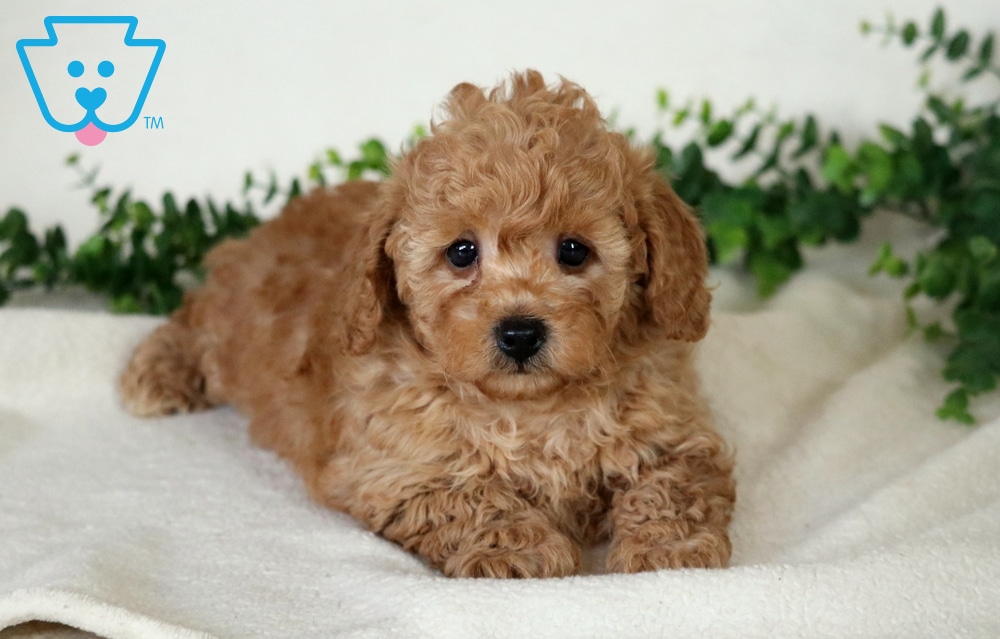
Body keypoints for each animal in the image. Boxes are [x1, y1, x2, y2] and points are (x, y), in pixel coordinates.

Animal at [119, 70, 735, 578]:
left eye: (574, 251)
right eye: (462, 252)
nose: (519, 332)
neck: (530, 408)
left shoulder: (676, 433)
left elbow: (676, 485)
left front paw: (669, 551)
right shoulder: (395, 469)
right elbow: (469, 497)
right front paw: (518, 548)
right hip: (235, 320)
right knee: (196, 318)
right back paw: (155, 372)